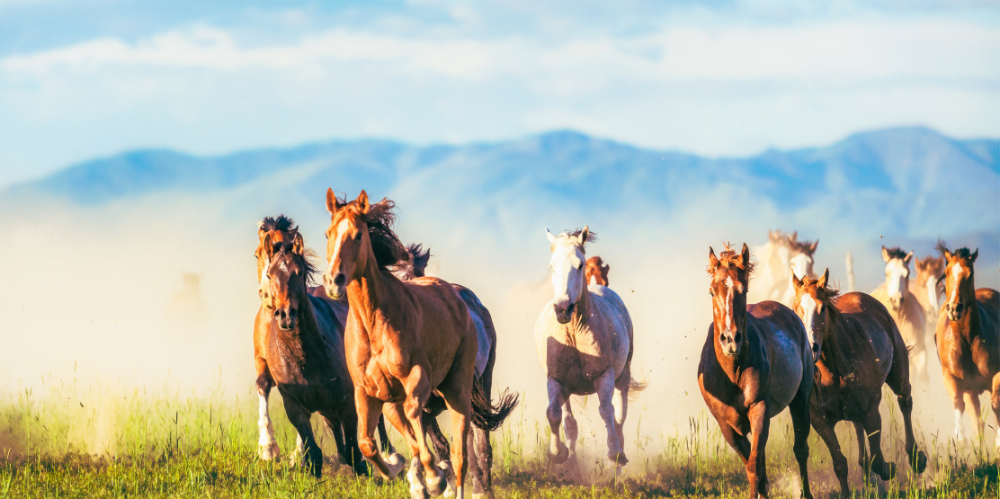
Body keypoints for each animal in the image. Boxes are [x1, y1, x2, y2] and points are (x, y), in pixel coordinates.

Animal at [253, 216, 402, 474]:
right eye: (271, 274)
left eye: (299, 272)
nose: (285, 315)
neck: (307, 357)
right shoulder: (295, 406)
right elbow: (315, 452)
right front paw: (280, 453)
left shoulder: (348, 403)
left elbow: (353, 451)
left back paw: (389, 455)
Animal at [535, 227, 644, 471]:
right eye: (552, 266)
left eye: (579, 264)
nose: (562, 308)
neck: (574, 333)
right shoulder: (555, 380)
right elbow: (554, 414)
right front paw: (558, 454)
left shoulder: (604, 375)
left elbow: (607, 411)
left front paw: (614, 452)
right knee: (569, 422)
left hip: (623, 375)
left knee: (619, 415)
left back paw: (619, 458)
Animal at [699, 243, 813, 499]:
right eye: (711, 291)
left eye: (744, 289)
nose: (730, 339)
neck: (731, 373)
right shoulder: (726, 424)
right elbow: (753, 464)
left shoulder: (759, 409)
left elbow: (753, 468)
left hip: (801, 399)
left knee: (801, 450)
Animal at [791, 269, 927, 494]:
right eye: (795, 309)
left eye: (823, 307)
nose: (811, 348)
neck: (833, 374)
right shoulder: (820, 421)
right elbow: (840, 464)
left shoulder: (871, 411)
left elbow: (878, 460)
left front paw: (889, 468)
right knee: (857, 427)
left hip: (898, 374)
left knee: (905, 402)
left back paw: (916, 458)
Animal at [934, 241, 1000, 446]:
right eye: (946, 272)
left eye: (970, 274)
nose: (955, 309)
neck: (968, 340)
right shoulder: (951, 376)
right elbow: (958, 402)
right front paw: (959, 436)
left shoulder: (996, 374)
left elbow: (996, 403)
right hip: (971, 391)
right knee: (976, 419)